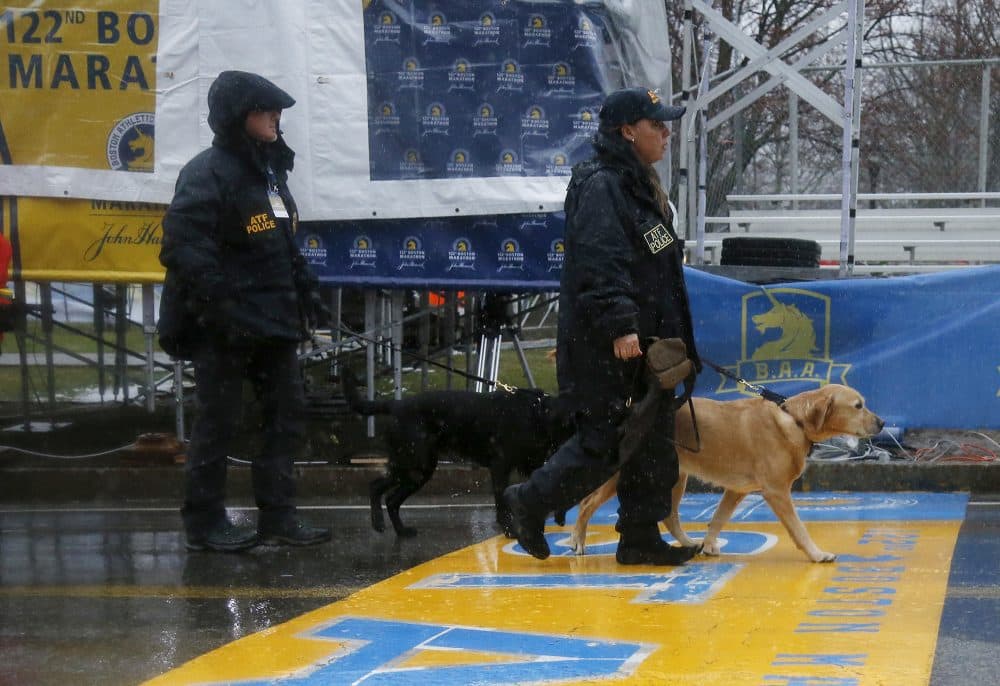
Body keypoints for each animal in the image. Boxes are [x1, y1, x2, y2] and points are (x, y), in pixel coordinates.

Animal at [340, 374, 572, 540]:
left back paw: (402, 532)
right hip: (414, 463)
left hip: (421, 470)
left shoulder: (534, 465)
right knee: (376, 486)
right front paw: (509, 530)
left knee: (391, 499)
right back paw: (378, 523)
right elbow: (501, 501)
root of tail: (395, 405)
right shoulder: (500, 466)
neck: (538, 414)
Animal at [568, 388, 888, 564]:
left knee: (670, 516)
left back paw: (688, 544)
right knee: (586, 504)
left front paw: (709, 544)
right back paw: (578, 541)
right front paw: (817, 554)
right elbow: (799, 529)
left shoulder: (737, 490)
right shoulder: (776, 492)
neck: (794, 421)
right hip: (625, 476)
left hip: (675, 477)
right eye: (858, 406)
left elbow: (719, 518)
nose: (883, 422)